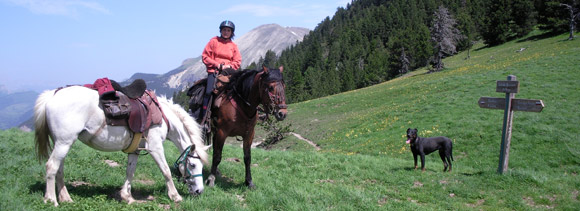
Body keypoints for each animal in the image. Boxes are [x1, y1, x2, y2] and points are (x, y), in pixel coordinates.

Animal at [34, 85, 211, 206]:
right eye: (193, 165)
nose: (199, 191)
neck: (163, 117)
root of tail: (53, 94)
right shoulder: (155, 147)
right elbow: (166, 171)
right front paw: (175, 196)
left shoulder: (135, 150)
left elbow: (130, 172)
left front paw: (127, 197)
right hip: (64, 143)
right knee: (51, 167)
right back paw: (51, 200)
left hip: (61, 143)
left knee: (59, 169)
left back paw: (65, 198)